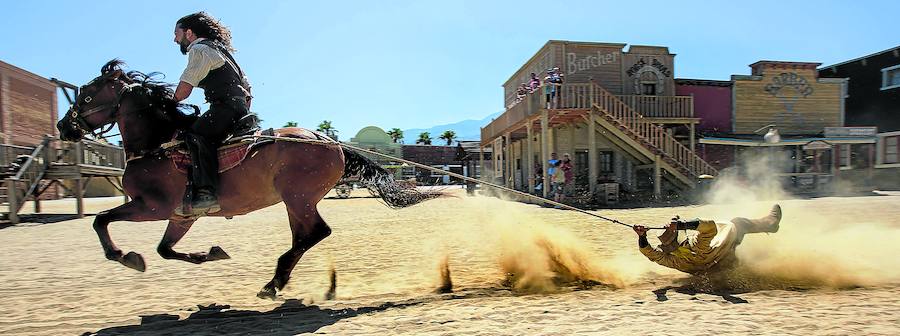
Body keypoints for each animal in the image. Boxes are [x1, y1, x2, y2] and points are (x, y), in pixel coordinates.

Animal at [55, 59, 436, 296]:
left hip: (297, 198)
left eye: (86, 95)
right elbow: (165, 249)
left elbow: (101, 220)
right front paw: (209, 254)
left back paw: (274, 282)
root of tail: (330, 142)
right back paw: (277, 281)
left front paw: (125, 256)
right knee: (305, 236)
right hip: (297, 202)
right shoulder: (182, 216)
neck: (158, 144)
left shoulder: (151, 206)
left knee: (316, 232)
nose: (63, 126)